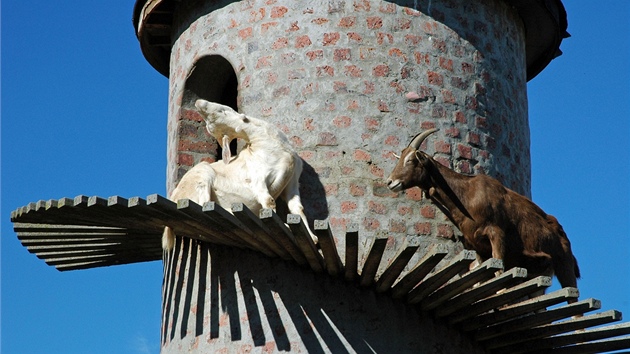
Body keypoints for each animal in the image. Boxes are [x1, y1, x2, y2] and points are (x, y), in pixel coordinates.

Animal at [162, 98, 318, 250]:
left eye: (221, 110)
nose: (198, 103)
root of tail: (175, 197)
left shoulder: (292, 182)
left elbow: (298, 209)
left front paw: (313, 238)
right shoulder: (257, 179)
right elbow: (269, 202)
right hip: (201, 175)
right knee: (203, 206)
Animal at [386, 129, 584, 290]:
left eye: (410, 160)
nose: (390, 182)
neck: (467, 195)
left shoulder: (496, 233)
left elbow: (498, 273)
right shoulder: (477, 248)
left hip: (564, 265)